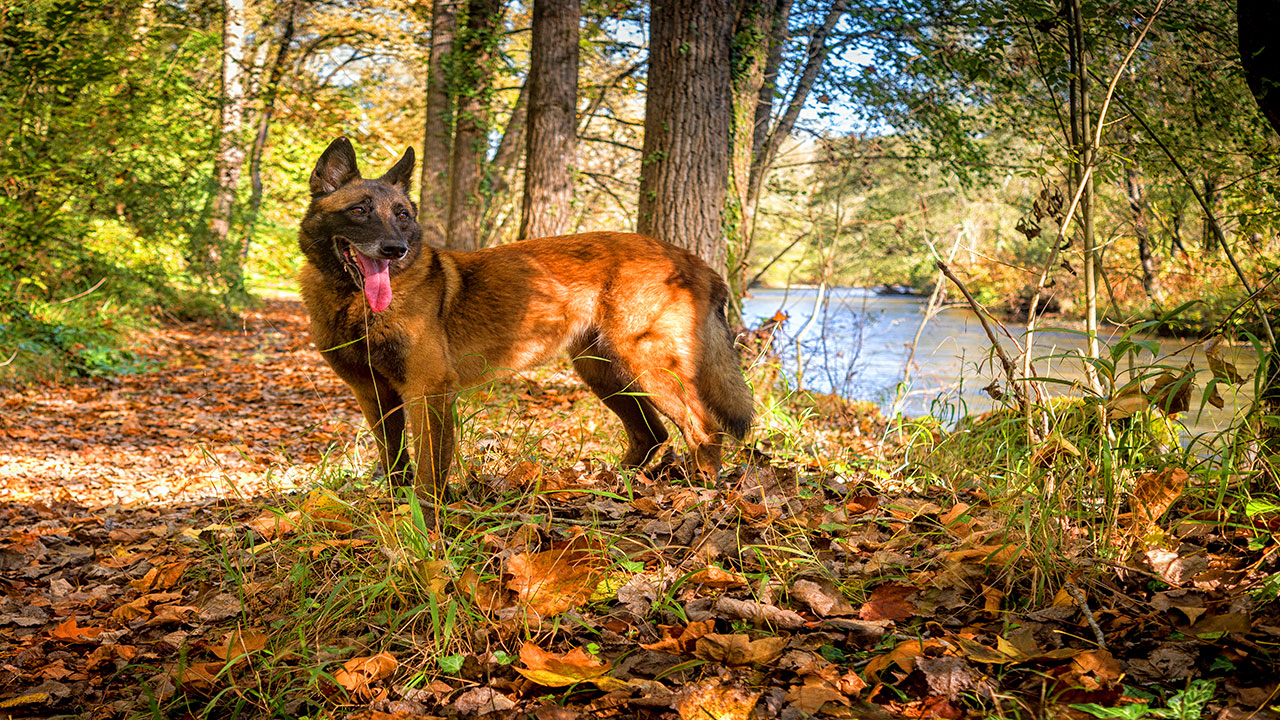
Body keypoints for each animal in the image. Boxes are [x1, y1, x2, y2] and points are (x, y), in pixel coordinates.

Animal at [295, 134, 752, 497]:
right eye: (359, 211)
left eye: (402, 216)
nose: (395, 249)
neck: (352, 305)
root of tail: (690, 259)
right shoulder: (374, 394)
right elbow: (393, 461)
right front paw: (393, 508)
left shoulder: (429, 390)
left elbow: (429, 470)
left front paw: (426, 524)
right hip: (604, 373)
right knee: (651, 433)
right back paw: (607, 485)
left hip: (647, 365)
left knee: (704, 428)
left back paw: (700, 491)